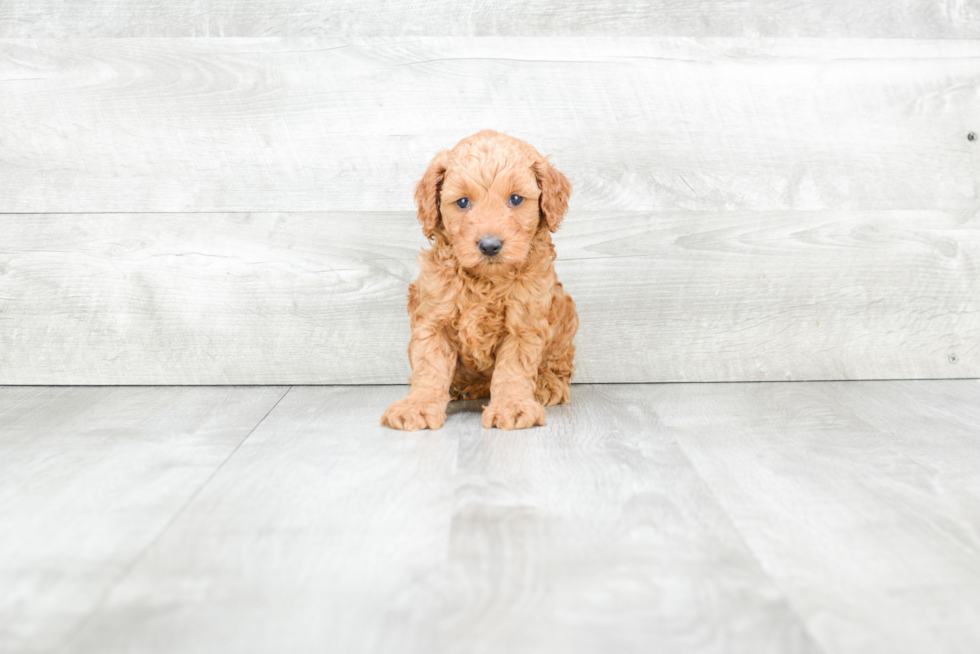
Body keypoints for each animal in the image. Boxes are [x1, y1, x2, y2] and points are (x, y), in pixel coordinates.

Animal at [382, 131, 580, 434]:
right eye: (463, 202)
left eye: (515, 199)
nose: (489, 245)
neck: (485, 281)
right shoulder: (434, 320)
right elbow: (429, 367)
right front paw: (417, 405)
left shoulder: (523, 324)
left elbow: (513, 370)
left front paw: (512, 406)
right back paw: (460, 387)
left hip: (565, 317)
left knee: (558, 364)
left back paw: (547, 384)